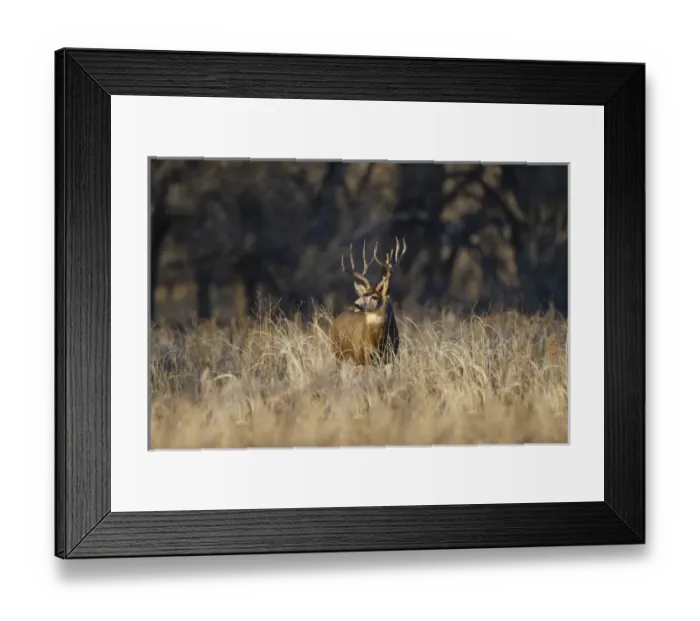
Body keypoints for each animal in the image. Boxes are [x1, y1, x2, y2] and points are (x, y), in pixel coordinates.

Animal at [329, 237, 407, 368]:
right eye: (363, 294)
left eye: (375, 297)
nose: (355, 304)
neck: (380, 342)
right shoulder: (367, 356)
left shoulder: (391, 356)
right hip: (338, 353)